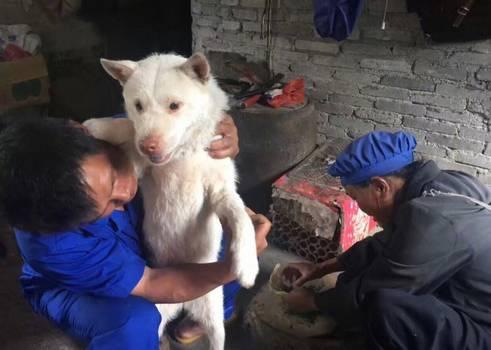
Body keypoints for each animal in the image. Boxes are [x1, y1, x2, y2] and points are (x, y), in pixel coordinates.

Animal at [83, 52, 262, 350]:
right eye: (138, 106)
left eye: (174, 106)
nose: (149, 146)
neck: (183, 154)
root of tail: (184, 303)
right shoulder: (135, 170)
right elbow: (130, 130)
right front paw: (103, 125)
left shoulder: (221, 191)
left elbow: (241, 218)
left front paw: (247, 262)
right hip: (158, 314)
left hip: (214, 318)